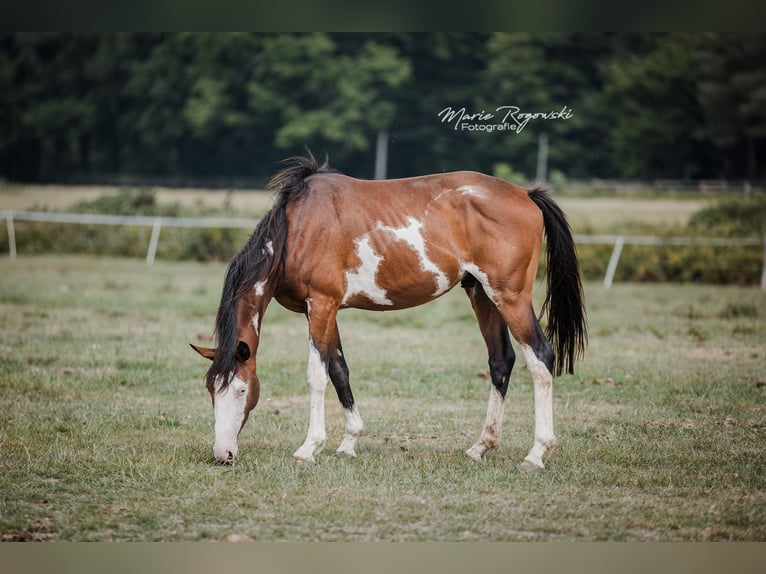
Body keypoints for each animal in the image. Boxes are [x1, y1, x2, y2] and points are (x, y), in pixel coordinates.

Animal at [191, 152, 587, 470]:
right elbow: (339, 371)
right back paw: (481, 446)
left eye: (242, 390)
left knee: (540, 358)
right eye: (211, 390)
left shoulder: (321, 304)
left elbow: (317, 375)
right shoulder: (323, 310)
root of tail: (526, 194)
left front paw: (309, 448)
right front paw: (349, 442)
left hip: (510, 296)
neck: (298, 227)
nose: (223, 454)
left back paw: (536, 453)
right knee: (501, 361)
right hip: (481, 293)